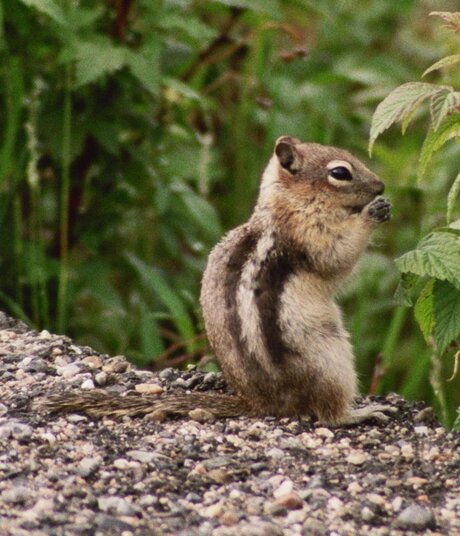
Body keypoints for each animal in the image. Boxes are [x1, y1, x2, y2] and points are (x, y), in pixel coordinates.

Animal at [43, 136, 394, 426]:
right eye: (340, 173)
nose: (380, 186)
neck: (287, 203)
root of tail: (262, 403)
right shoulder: (311, 234)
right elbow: (338, 257)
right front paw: (372, 212)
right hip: (331, 360)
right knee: (328, 414)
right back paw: (361, 412)